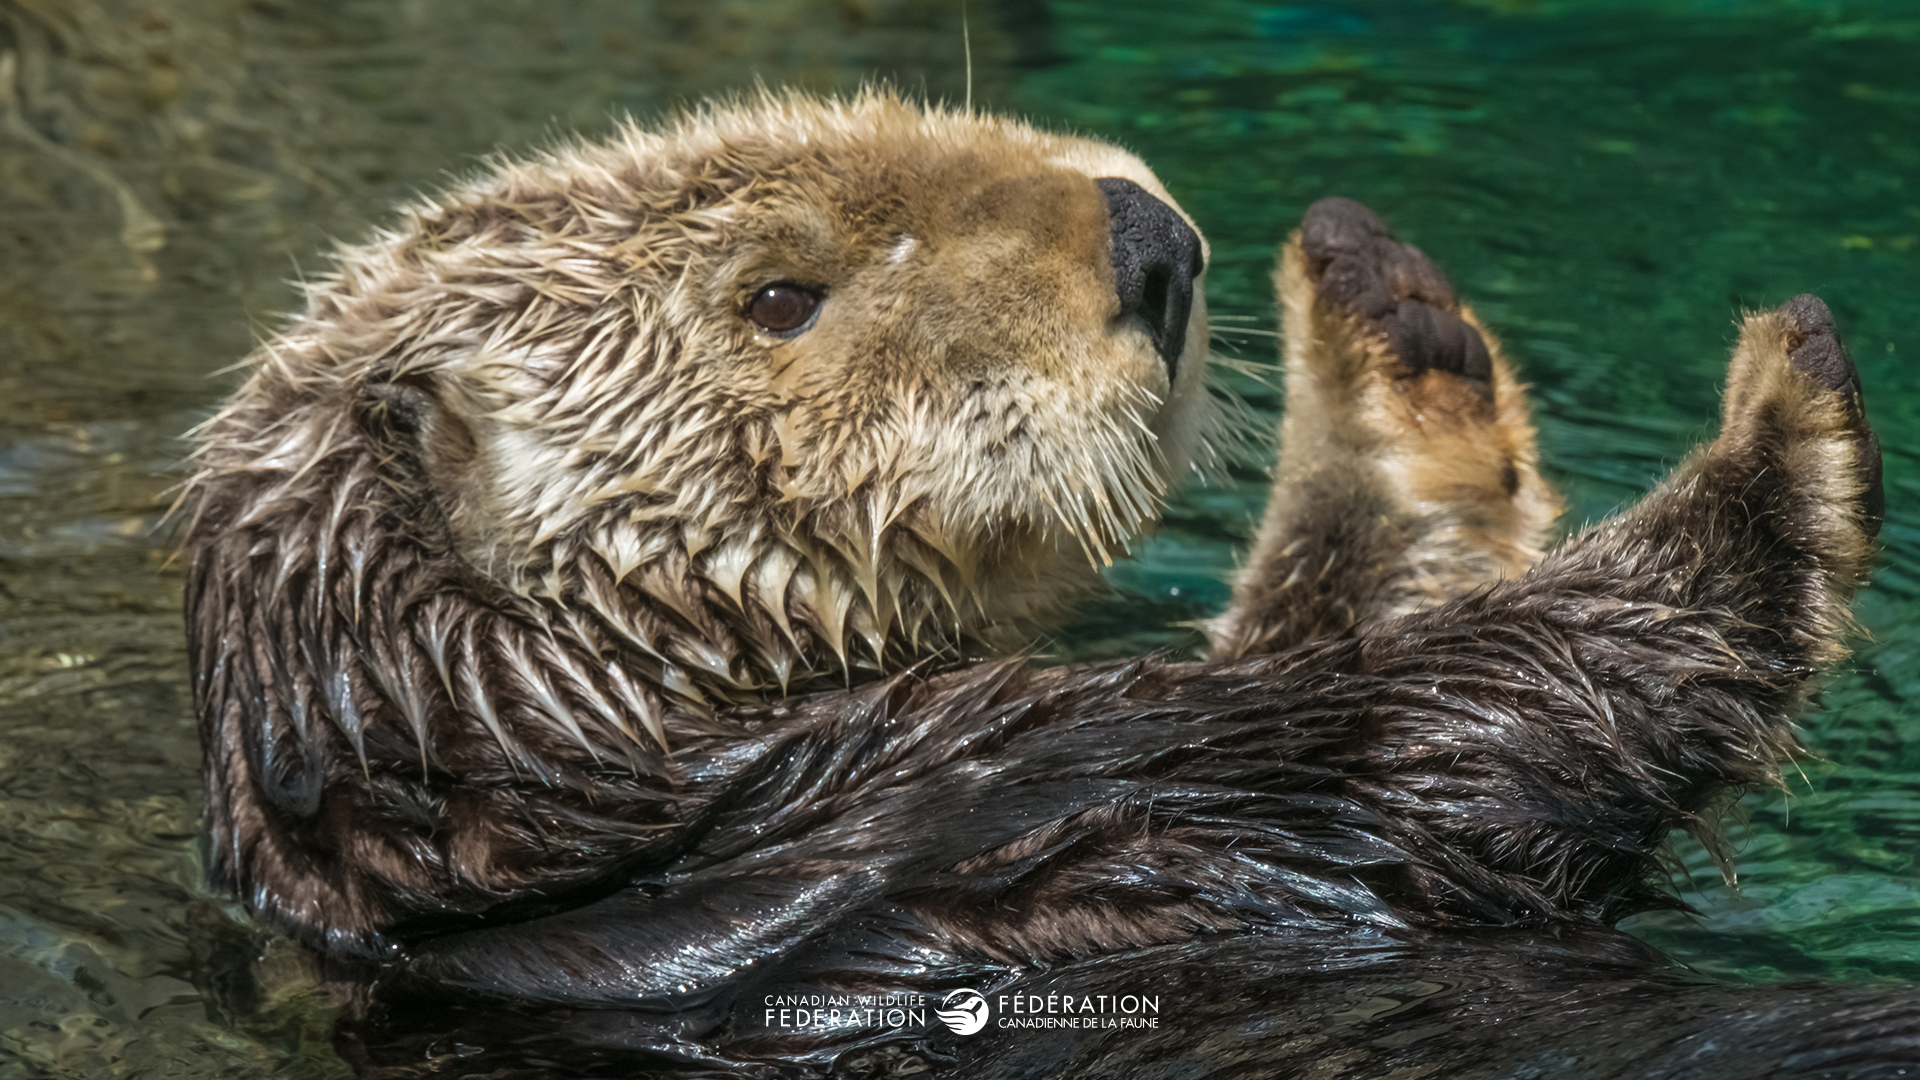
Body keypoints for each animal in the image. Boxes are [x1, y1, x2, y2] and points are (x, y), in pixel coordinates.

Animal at [183, 91, 1911, 1074]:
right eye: (780, 297)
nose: (1151, 239)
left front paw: (1391, 323)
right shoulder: (1058, 802)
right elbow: (1494, 711)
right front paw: (1780, 423)